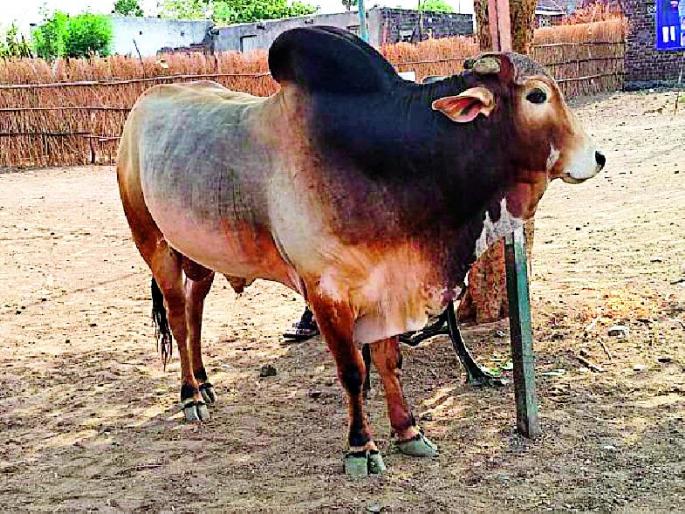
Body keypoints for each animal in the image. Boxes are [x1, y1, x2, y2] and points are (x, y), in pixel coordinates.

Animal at [117, 26, 605, 478]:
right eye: (537, 95)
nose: (597, 157)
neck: (386, 160)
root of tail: (143, 106)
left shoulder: (387, 283)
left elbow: (390, 361)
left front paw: (408, 431)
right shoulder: (326, 293)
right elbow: (353, 371)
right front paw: (361, 447)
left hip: (200, 258)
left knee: (195, 311)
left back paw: (204, 382)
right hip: (153, 244)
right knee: (178, 316)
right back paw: (190, 395)